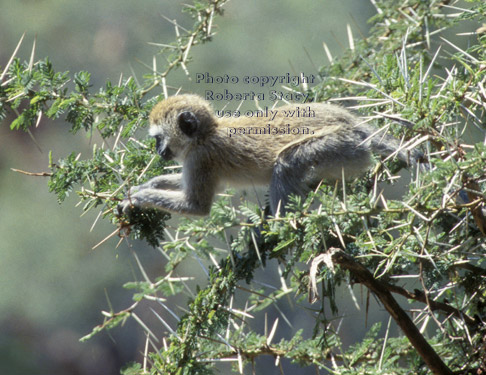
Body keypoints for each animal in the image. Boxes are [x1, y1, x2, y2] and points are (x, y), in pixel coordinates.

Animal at [118, 94, 422, 217]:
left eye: (159, 139)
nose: (159, 152)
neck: (205, 135)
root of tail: (353, 126)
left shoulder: (200, 159)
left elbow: (196, 207)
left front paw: (139, 198)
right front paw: (148, 184)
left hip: (342, 146)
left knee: (287, 162)